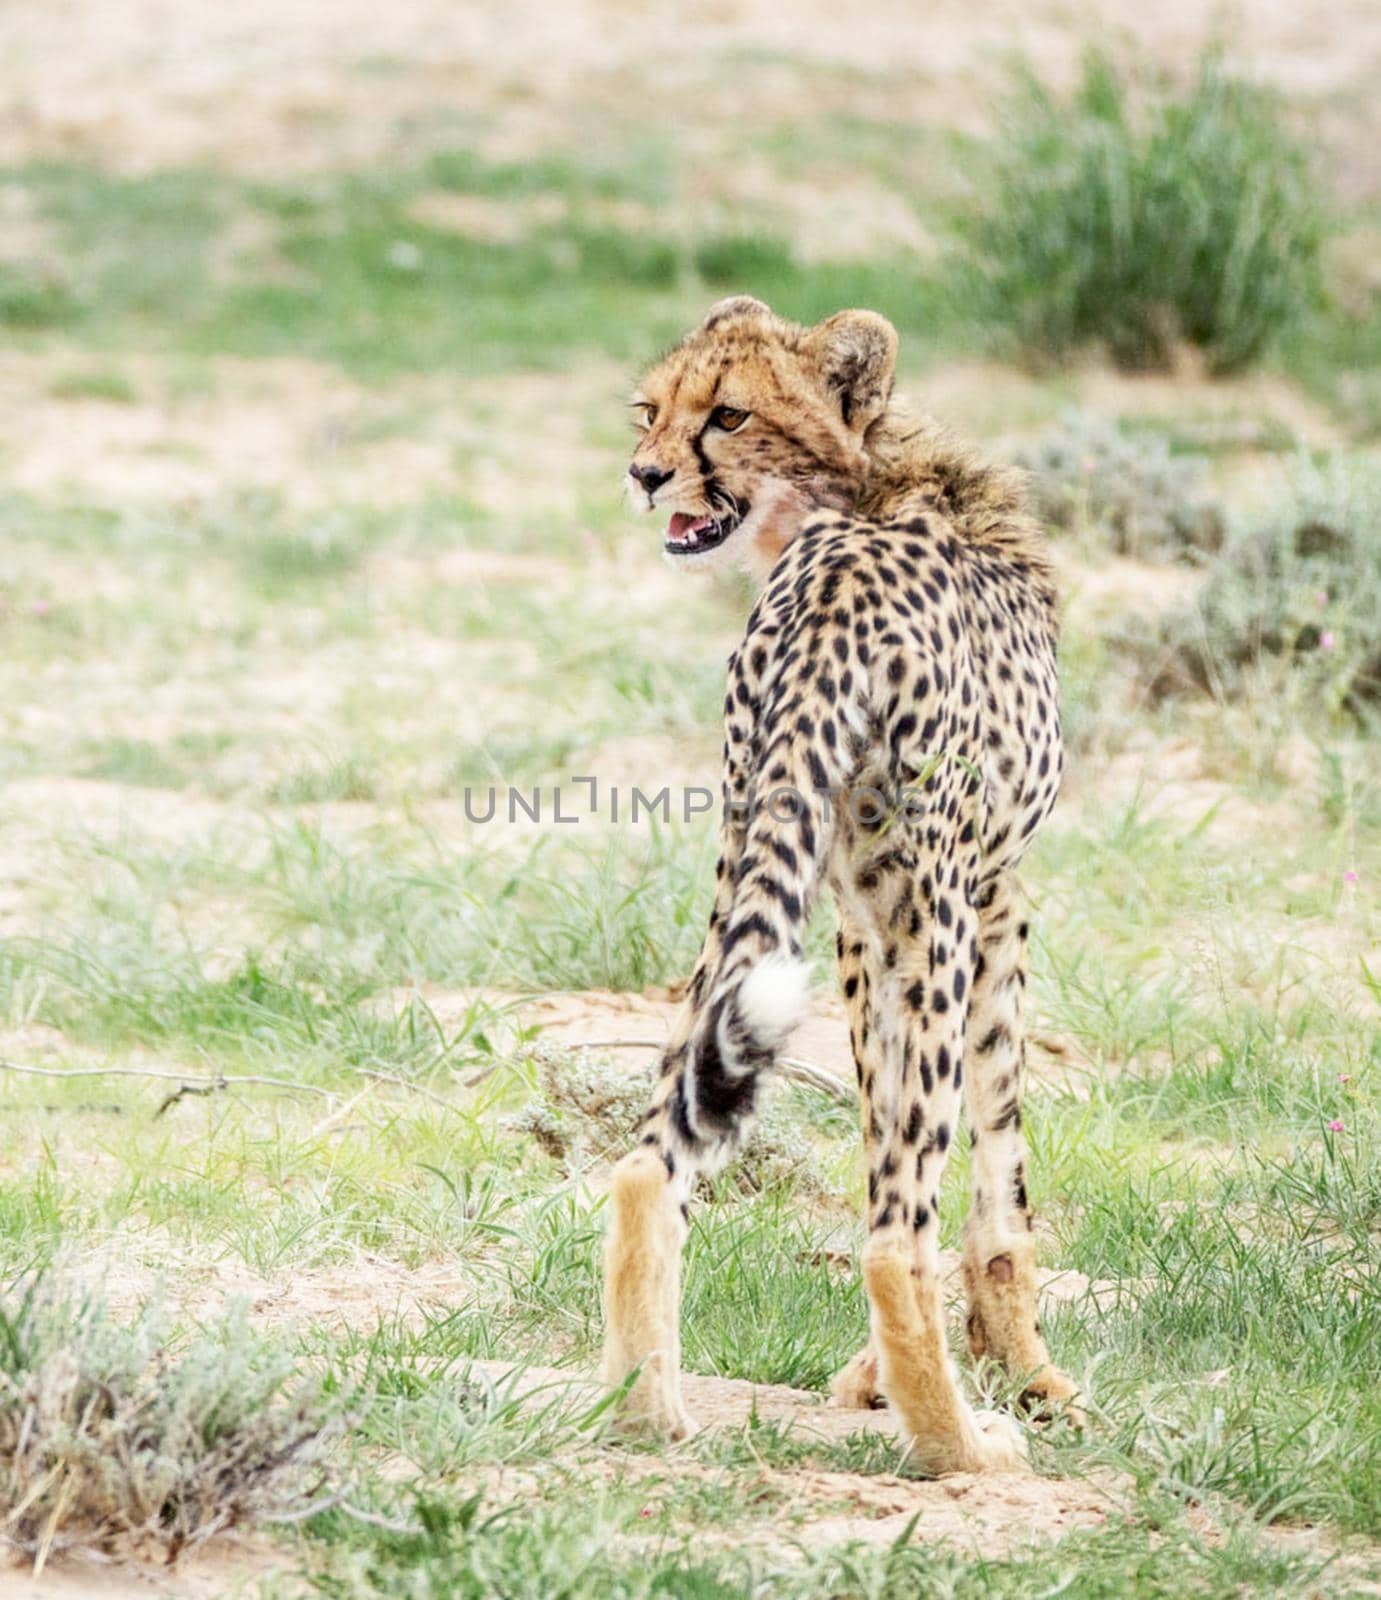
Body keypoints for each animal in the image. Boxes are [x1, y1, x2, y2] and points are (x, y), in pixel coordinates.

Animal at [601, 297, 1081, 1472]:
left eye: (726, 415)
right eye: (652, 411)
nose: (642, 473)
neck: (870, 490)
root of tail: (834, 594)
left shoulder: (864, 927)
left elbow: (885, 1122)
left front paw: (873, 1382)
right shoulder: (991, 900)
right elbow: (994, 1158)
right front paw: (1023, 1374)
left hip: (741, 871)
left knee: (651, 1159)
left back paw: (645, 1410)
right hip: (940, 917)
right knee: (894, 1235)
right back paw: (963, 1447)